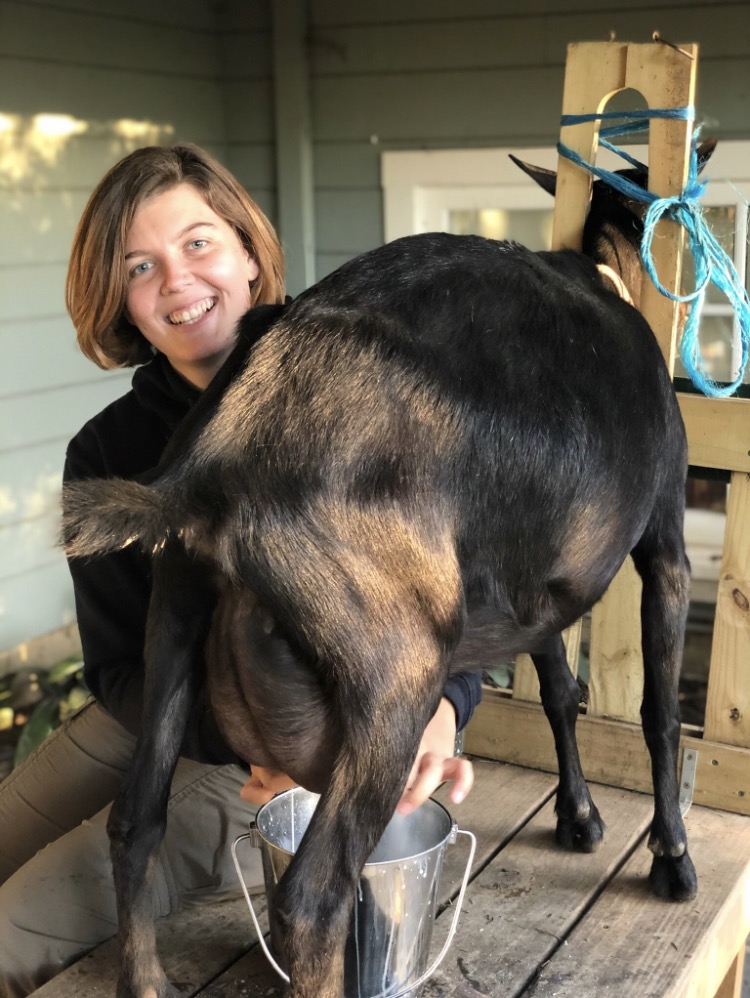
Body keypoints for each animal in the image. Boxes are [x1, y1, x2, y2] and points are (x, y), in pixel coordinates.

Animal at [61, 148, 712, 998]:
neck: (603, 271)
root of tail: (216, 463)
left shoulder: (541, 588)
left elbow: (560, 694)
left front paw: (577, 816)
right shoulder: (664, 542)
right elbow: (659, 713)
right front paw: (672, 855)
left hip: (172, 621)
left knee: (136, 820)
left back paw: (144, 979)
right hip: (395, 673)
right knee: (311, 901)